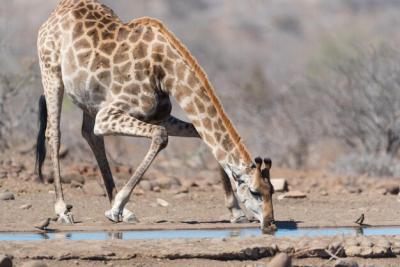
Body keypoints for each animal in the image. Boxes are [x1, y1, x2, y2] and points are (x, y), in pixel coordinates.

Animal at [35, 0, 276, 231]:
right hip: (51, 72)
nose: (270, 223)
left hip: (89, 100)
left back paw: (123, 211)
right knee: (54, 133)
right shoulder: (108, 114)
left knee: (90, 135)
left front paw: (235, 211)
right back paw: (63, 211)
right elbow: (160, 136)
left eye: (271, 190)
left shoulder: (158, 115)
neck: (164, 71)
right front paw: (117, 207)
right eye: (255, 191)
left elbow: (201, 135)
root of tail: (57, 11)